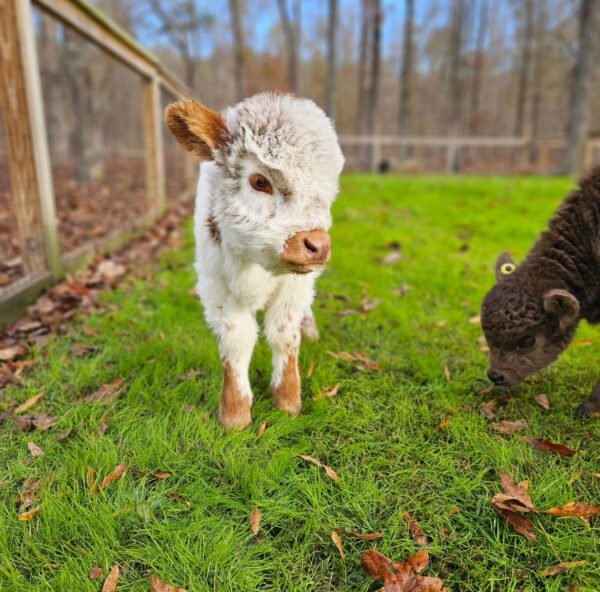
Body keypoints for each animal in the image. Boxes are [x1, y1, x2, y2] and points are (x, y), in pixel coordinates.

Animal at [165, 95, 342, 432]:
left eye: (328, 191)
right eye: (260, 181)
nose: (318, 246)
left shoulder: (293, 287)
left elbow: (284, 334)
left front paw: (288, 400)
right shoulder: (217, 286)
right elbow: (237, 340)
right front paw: (235, 415)